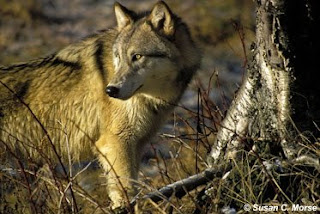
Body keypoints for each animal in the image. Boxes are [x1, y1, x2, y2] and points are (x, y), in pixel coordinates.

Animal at [0, 0, 200, 209]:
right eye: (118, 57)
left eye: (137, 56)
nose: (110, 90)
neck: (151, 98)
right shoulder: (116, 143)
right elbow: (126, 192)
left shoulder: (135, 146)